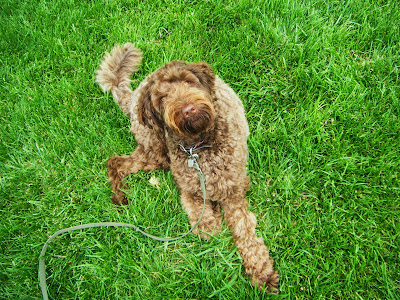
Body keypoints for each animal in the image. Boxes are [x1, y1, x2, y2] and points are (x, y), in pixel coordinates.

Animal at [96, 43, 278, 292]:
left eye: (188, 82)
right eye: (163, 98)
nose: (188, 109)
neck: (199, 147)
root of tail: (133, 99)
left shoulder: (233, 194)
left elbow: (245, 234)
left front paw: (262, 272)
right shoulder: (189, 191)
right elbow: (202, 221)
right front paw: (213, 224)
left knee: (117, 162)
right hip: (157, 149)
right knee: (115, 162)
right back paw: (119, 196)